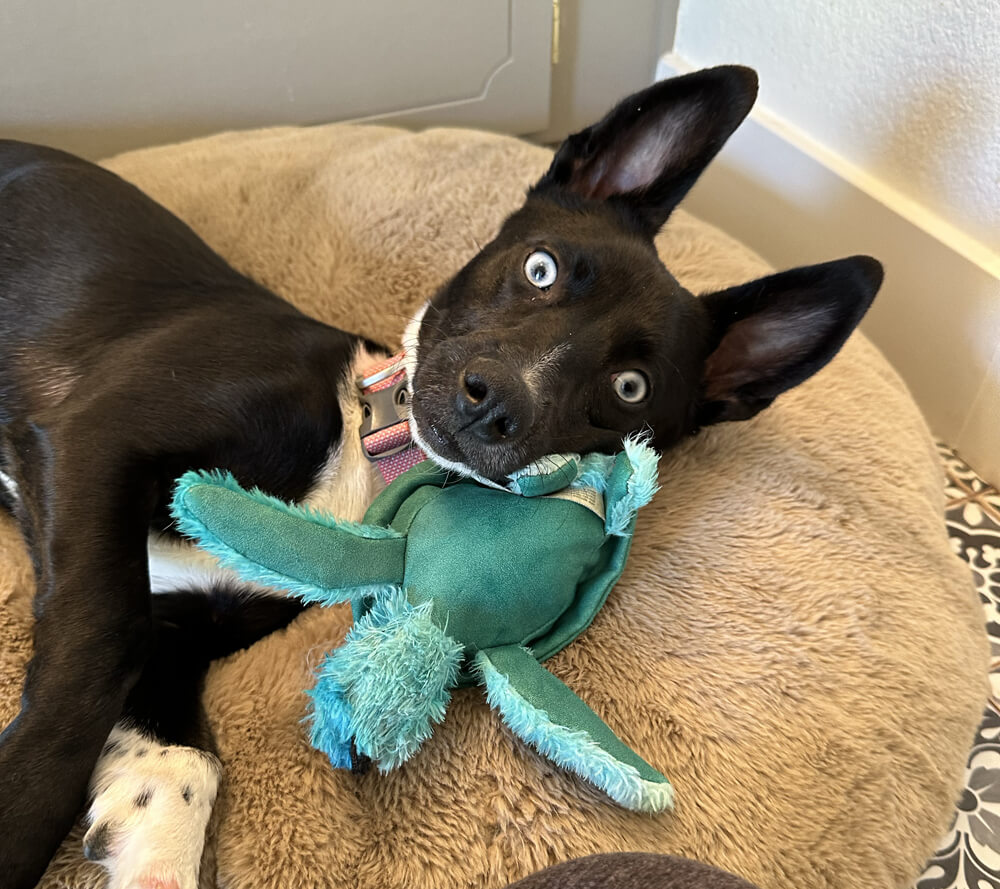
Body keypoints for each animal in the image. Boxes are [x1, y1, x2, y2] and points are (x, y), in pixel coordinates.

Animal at [0, 64, 880, 888]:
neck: (365, 451)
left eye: (631, 388)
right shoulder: (98, 435)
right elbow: (99, 651)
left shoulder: (183, 616)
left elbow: (176, 742)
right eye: (539, 268)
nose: (496, 403)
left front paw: (158, 841)